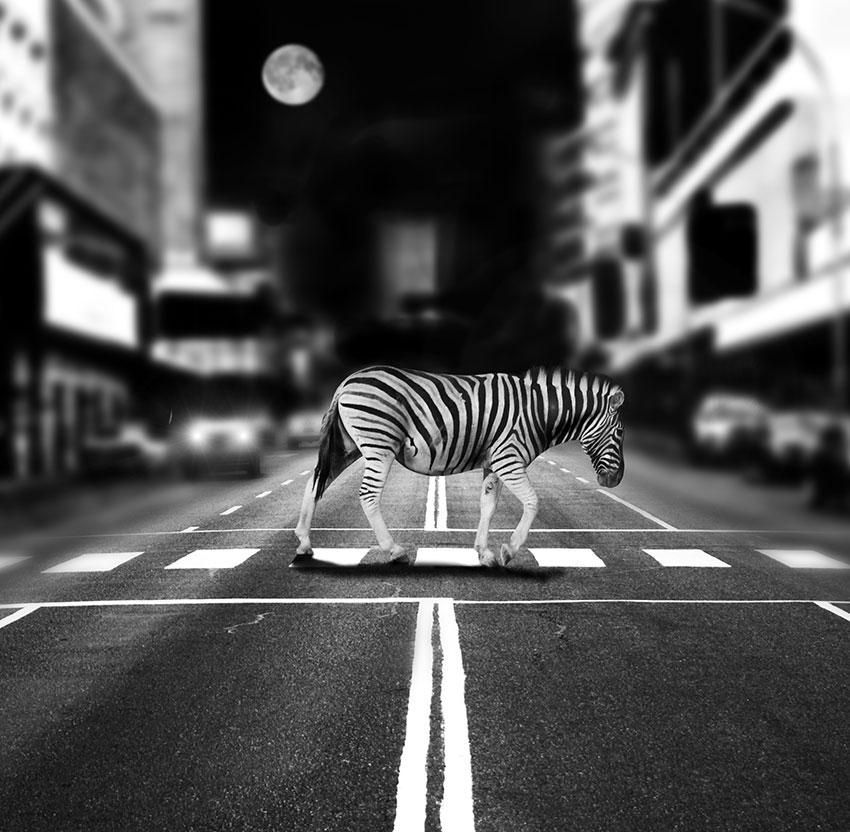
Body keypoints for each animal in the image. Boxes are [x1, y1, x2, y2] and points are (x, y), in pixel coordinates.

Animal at [295, 365, 625, 567]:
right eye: (620, 433)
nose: (616, 481)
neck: (539, 413)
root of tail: (346, 382)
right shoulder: (508, 458)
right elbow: (533, 501)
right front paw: (509, 550)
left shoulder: (494, 463)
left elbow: (488, 506)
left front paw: (484, 553)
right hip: (380, 444)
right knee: (367, 495)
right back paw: (394, 550)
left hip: (347, 446)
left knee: (314, 484)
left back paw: (304, 544)